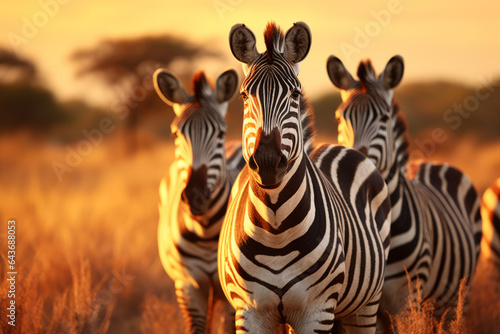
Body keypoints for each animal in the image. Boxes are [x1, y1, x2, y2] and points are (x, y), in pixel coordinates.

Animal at [154, 68, 244, 334]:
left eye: (220, 133)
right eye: (175, 134)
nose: (195, 195)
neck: (205, 231)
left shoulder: (228, 290)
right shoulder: (188, 285)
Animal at [217, 22, 392, 332]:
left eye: (295, 95)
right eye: (244, 96)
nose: (267, 162)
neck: (274, 225)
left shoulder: (317, 310)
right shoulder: (250, 312)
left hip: (365, 304)